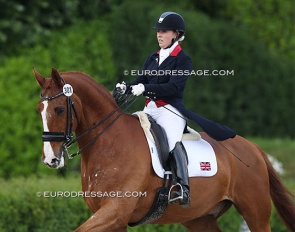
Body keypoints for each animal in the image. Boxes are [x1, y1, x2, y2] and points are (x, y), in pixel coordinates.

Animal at [34, 67, 294, 232]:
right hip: (200, 219)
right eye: (39, 109)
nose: (50, 160)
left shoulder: (115, 212)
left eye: (59, 109)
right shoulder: (114, 219)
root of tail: (252, 147)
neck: (108, 143)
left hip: (255, 214)